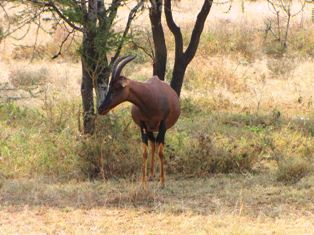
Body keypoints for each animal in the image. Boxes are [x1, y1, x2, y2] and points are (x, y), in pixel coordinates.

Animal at [98, 55, 182, 187]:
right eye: (109, 87)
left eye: (116, 87)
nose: (101, 109)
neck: (151, 96)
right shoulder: (142, 125)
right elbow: (144, 152)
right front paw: (143, 183)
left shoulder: (163, 125)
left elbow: (161, 152)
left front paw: (162, 182)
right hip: (150, 128)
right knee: (153, 143)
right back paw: (151, 175)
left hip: (158, 128)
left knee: (156, 144)